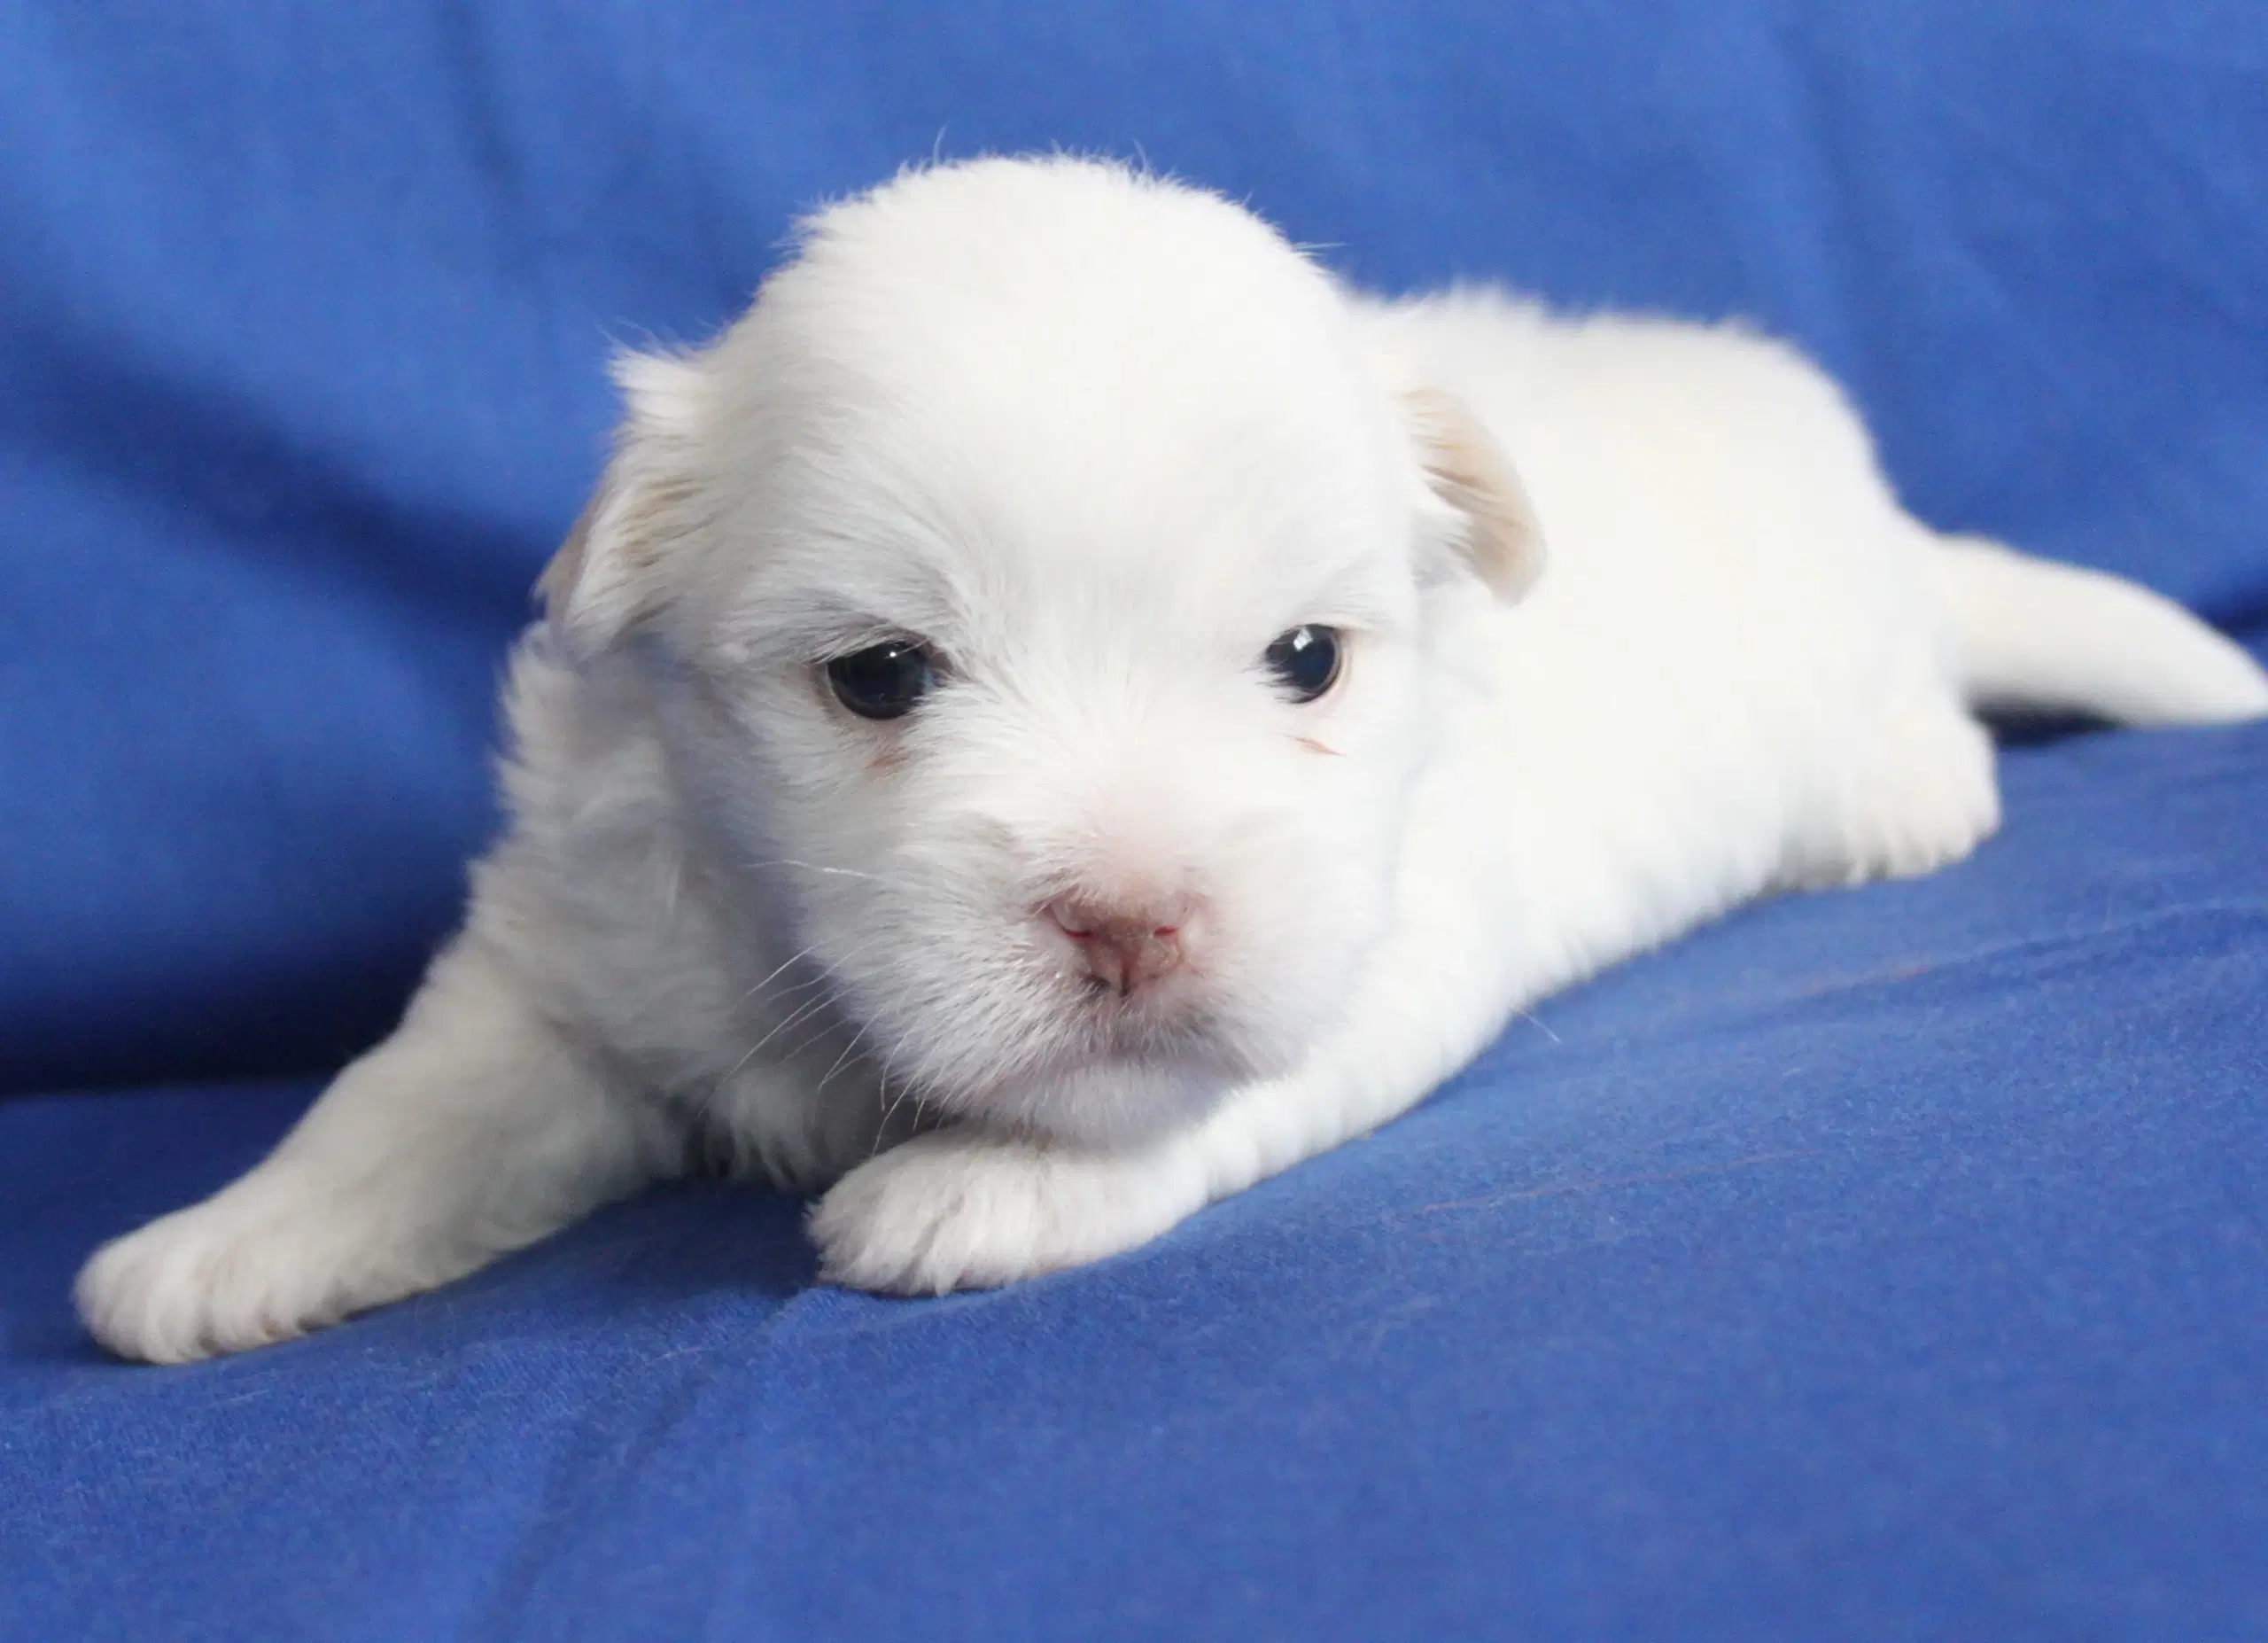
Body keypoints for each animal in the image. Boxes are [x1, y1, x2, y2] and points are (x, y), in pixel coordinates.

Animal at [75, 157, 2268, 1361]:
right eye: (879, 678)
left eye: (1302, 661)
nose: (1128, 921)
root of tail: (1878, 520)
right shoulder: (584, 943)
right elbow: (408, 1093)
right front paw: (220, 1245)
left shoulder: (1374, 937)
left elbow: (1175, 1095)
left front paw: (986, 1185)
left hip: (1853, 652)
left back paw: (1898, 799)